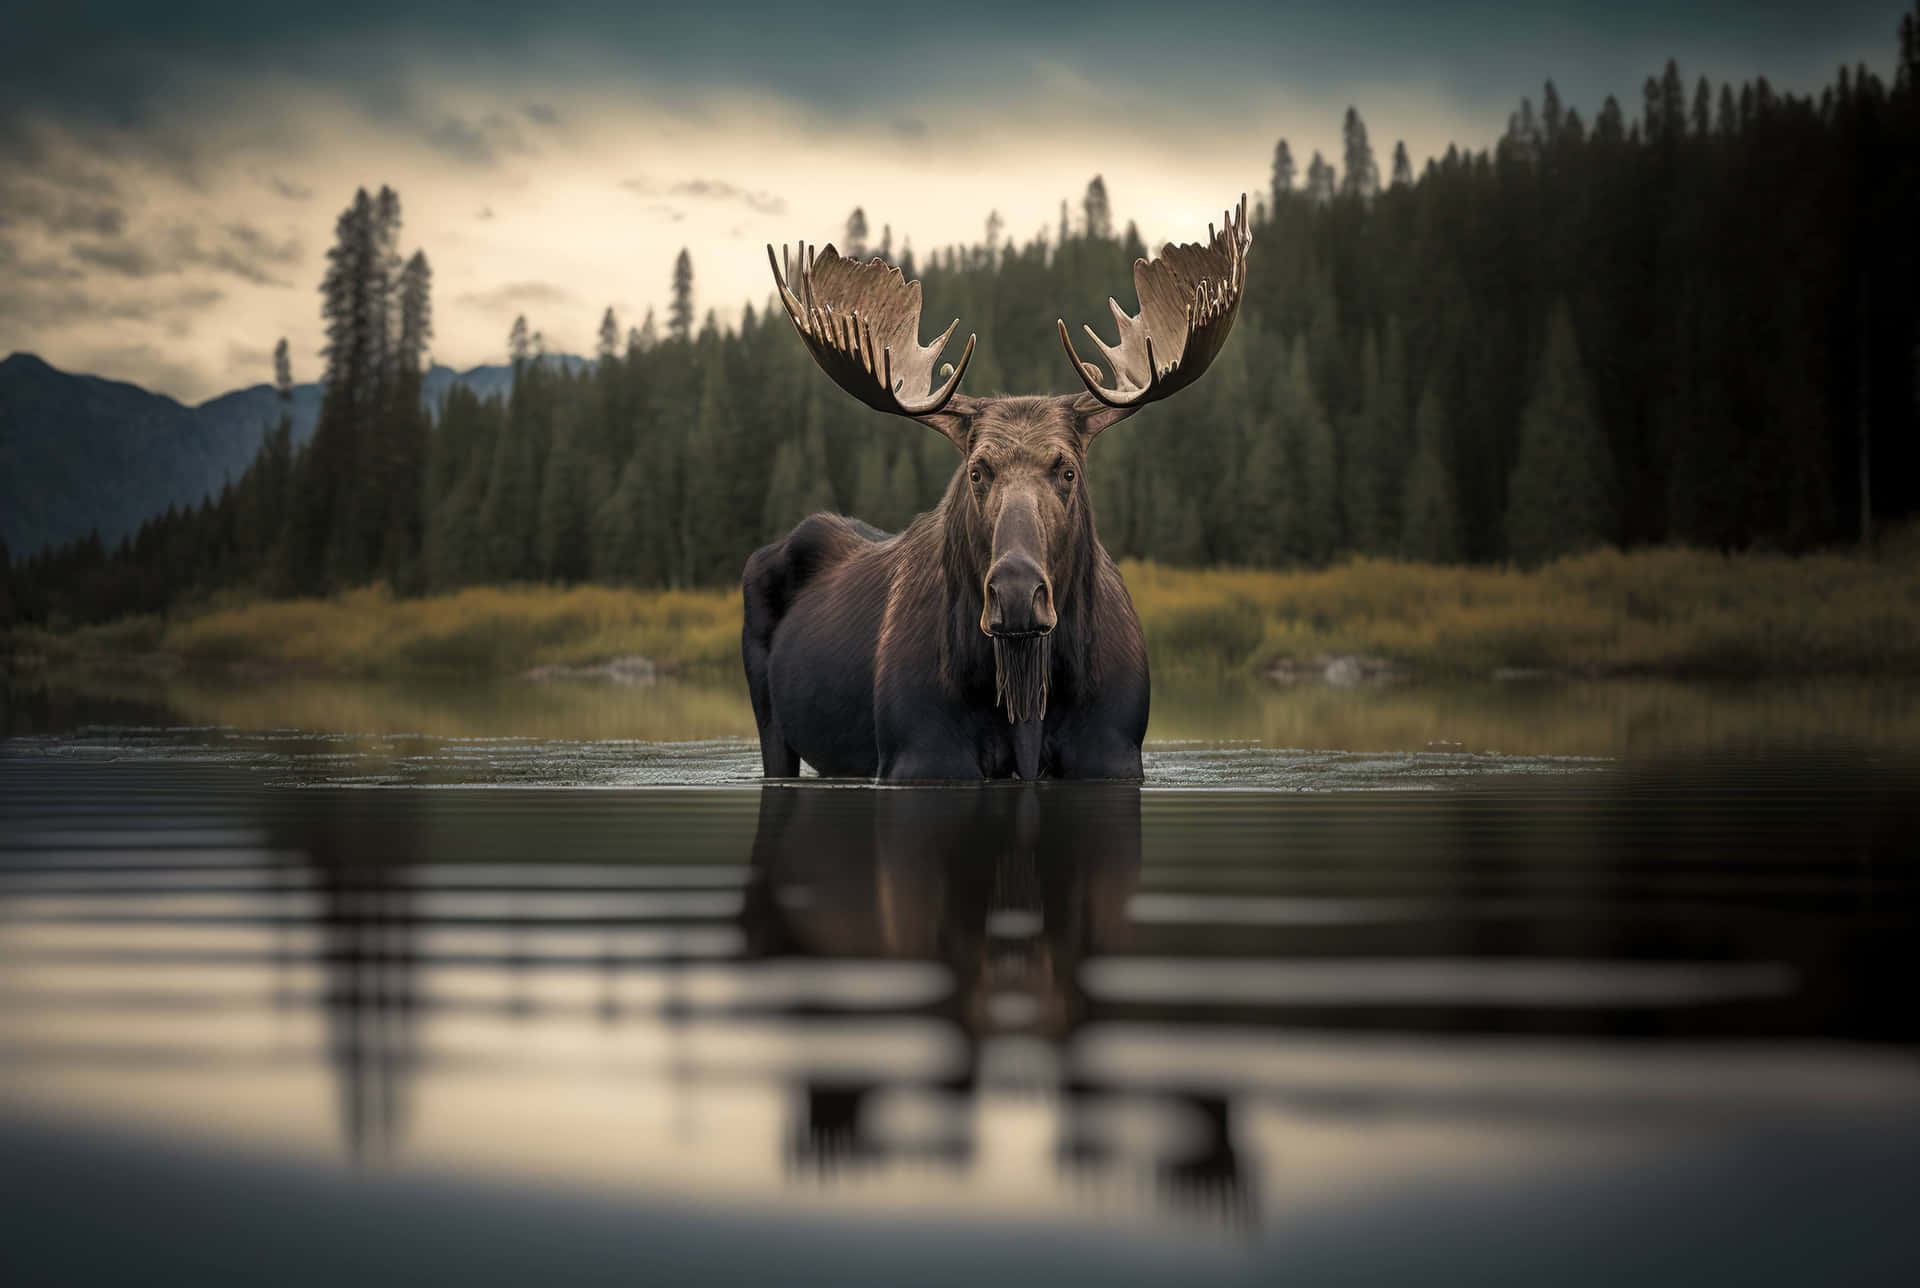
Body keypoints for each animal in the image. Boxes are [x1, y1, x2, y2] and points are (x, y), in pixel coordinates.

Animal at [741, 196, 1251, 779]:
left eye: (1068, 470)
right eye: (976, 470)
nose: (1015, 593)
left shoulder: (1113, 751)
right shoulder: (921, 754)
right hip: (771, 720)